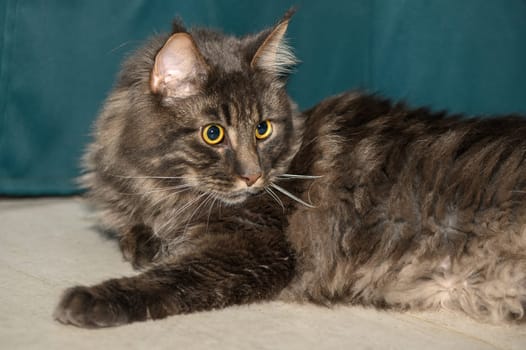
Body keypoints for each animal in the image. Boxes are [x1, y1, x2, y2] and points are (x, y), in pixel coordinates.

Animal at [53, 11, 526, 328]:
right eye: (213, 134)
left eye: (262, 128)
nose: (253, 176)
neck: (157, 186)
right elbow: (138, 239)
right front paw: (148, 242)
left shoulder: (253, 247)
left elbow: (173, 277)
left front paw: (91, 299)